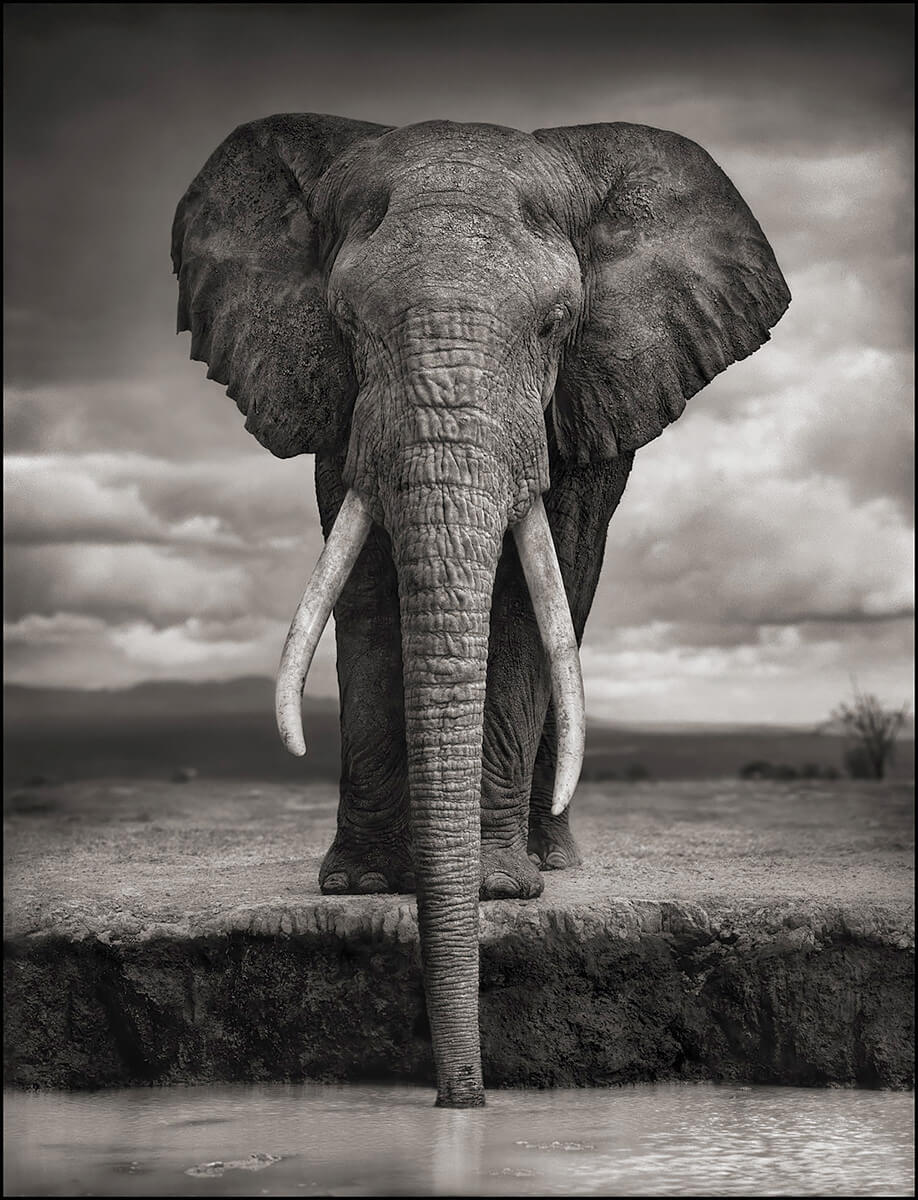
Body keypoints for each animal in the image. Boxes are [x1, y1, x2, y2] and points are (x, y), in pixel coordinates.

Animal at [171, 112, 787, 1104]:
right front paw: (363, 887)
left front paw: (499, 890)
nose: (463, 1095)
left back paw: (551, 861)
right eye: (346, 321)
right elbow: (368, 590)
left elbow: (530, 601)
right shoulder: (341, 408)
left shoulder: (577, 397)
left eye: (557, 323)